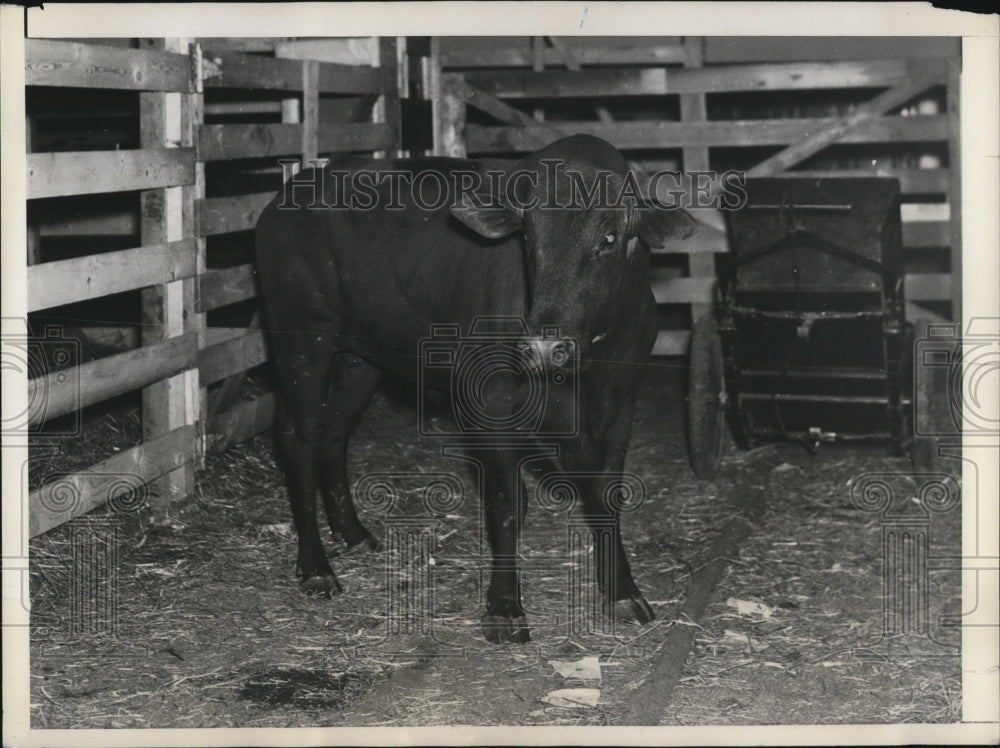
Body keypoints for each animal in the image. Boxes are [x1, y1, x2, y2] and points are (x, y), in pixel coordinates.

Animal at [254, 134, 696, 643]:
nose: (544, 346)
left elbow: (606, 494)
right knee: (301, 441)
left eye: (608, 238)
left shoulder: (621, 399)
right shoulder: (492, 402)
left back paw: (354, 533)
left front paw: (622, 591)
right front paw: (504, 607)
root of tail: (291, 193)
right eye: (528, 238)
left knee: (333, 435)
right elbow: (506, 503)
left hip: (358, 358)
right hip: (302, 342)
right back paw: (315, 567)